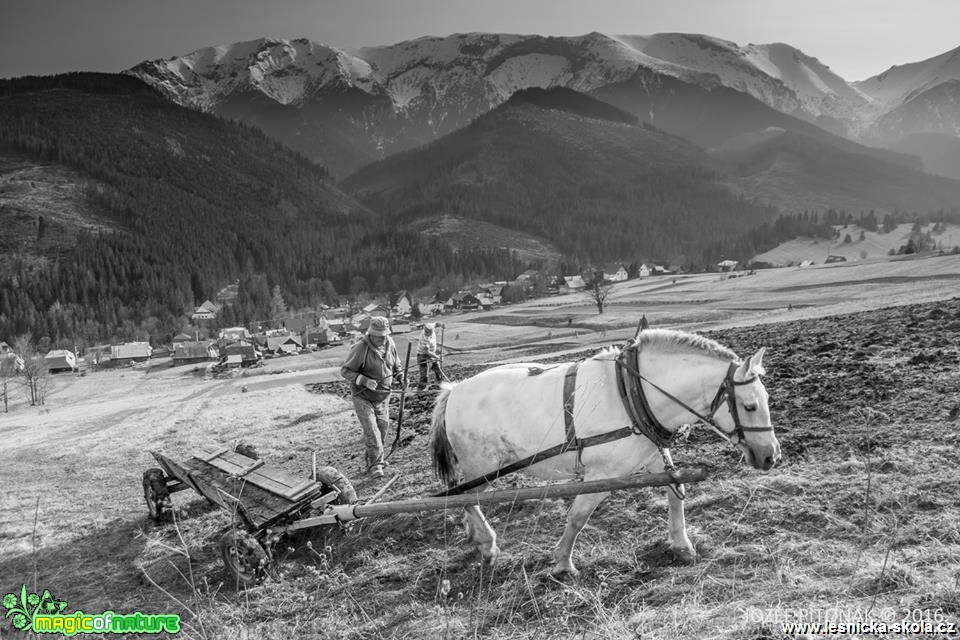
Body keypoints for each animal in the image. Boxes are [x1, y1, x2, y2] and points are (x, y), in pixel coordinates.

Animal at [428, 328, 780, 576]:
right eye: (750, 406)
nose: (771, 456)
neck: (634, 392)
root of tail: (454, 390)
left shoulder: (653, 455)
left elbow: (675, 491)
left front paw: (682, 545)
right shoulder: (602, 474)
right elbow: (578, 516)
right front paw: (563, 562)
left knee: (462, 498)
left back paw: (476, 537)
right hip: (482, 465)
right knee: (466, 498)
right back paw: (487, 544)